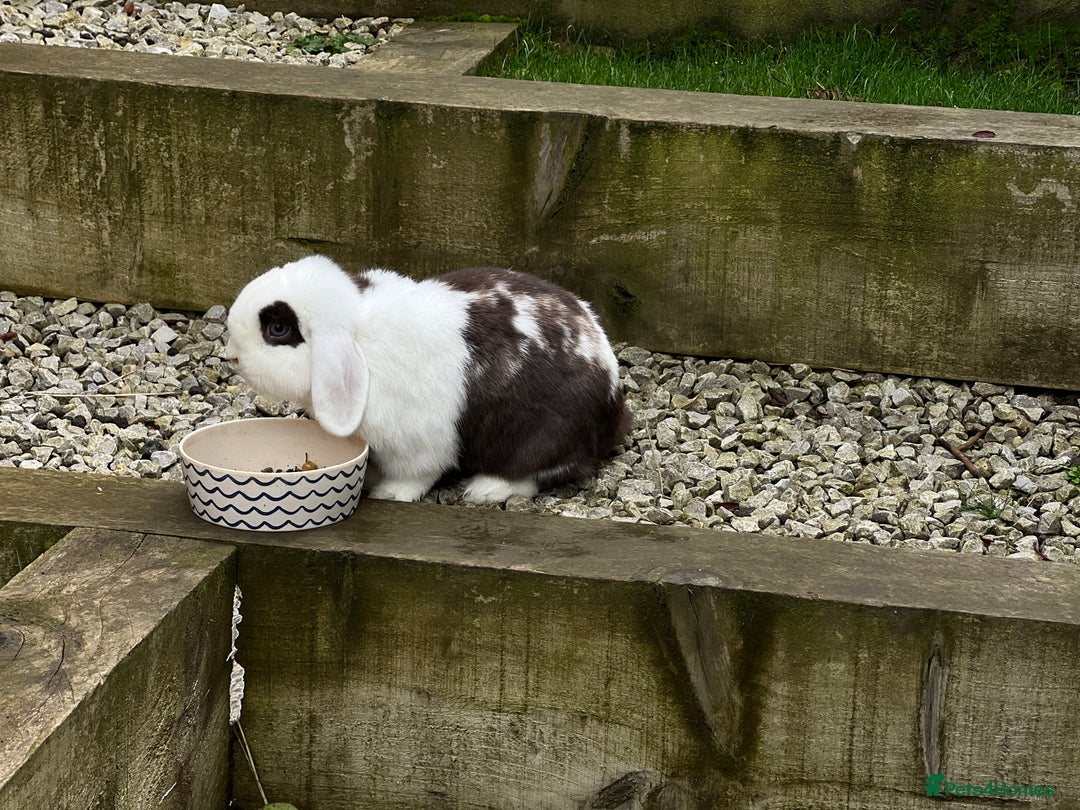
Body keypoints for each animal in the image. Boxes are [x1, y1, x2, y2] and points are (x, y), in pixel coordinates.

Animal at [224, 255, 632, 504]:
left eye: (278, 329)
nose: (231, 356)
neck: (361, 340)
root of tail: (613, 401)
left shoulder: (417, 446)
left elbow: (415, 475)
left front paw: (387, 493)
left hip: (543, 435)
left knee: (545, 470)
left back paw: (485, 490)